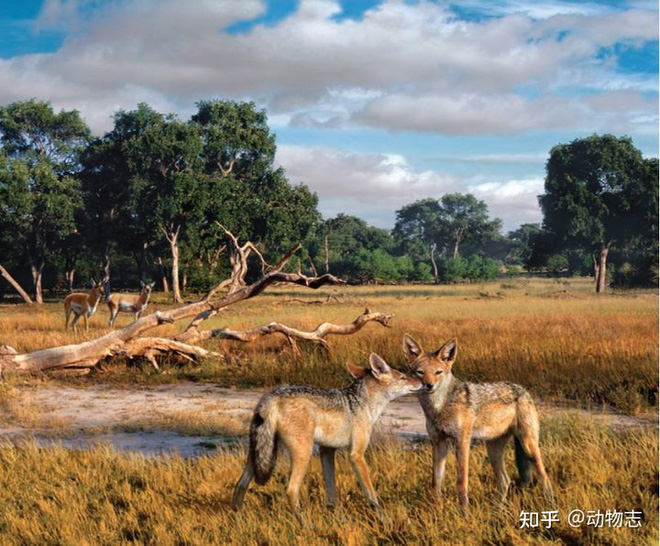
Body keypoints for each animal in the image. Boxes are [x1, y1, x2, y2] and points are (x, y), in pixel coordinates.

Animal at [402, 332, 552, 506]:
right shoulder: (439, 443)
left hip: (528, 446)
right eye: (420, 372)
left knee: (544, 477)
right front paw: (437, 507)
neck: (439, 408)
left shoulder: (462, 442)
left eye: (438, 372)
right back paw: (497, 509)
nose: (429, 385)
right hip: (493, 451)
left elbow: (461, 483)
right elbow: (436, 482)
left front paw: (463, 511)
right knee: (505, 481)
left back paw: (551, 504)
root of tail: (523, 390)